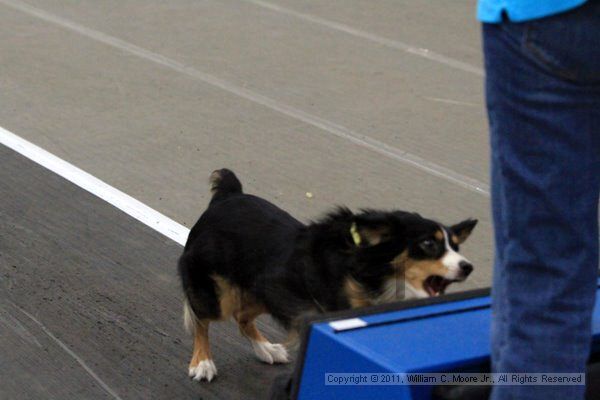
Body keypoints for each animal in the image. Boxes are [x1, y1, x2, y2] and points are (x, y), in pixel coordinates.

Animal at [178, 168, 478, 382]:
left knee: (241, 317)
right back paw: (203, 362)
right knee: (202, 319)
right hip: (218, 293)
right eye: (428, 244)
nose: (467, 266)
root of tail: (228, 196)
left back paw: (267, 349)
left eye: (456, 246)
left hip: (268, 291)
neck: (373, 274)